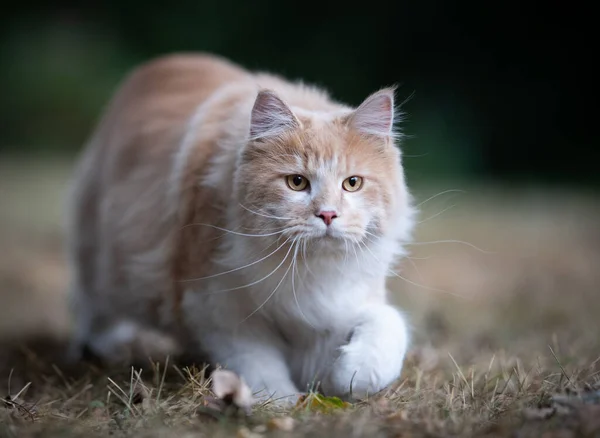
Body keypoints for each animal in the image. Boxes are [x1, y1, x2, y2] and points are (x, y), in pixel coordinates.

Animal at [64, 53, 412, 402]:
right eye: (297, 182)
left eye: (352, 183)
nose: (327, 214)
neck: (305, 271)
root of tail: (165, 62)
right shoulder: (218, 309)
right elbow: (259, 364)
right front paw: (280, 402)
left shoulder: (337, 308)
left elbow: (385, 330)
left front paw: (347, 376)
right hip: (101, 263)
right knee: (91, 307)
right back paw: (99, 350)